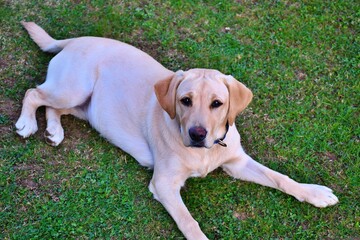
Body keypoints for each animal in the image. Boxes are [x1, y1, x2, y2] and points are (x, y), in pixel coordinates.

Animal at [16, 22, 338, 238]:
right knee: (34, 93)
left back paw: (54, 131)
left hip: (83, 105)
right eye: (185, 101)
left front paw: (314, 193)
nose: (197, 134)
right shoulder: (164, 183)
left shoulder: (237, 162)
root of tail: (75, 40)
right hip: (74, 89)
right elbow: (189, 222)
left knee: (51, 106)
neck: (205, 153)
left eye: (217, 103)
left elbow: (279, 177)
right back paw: (28, 123)